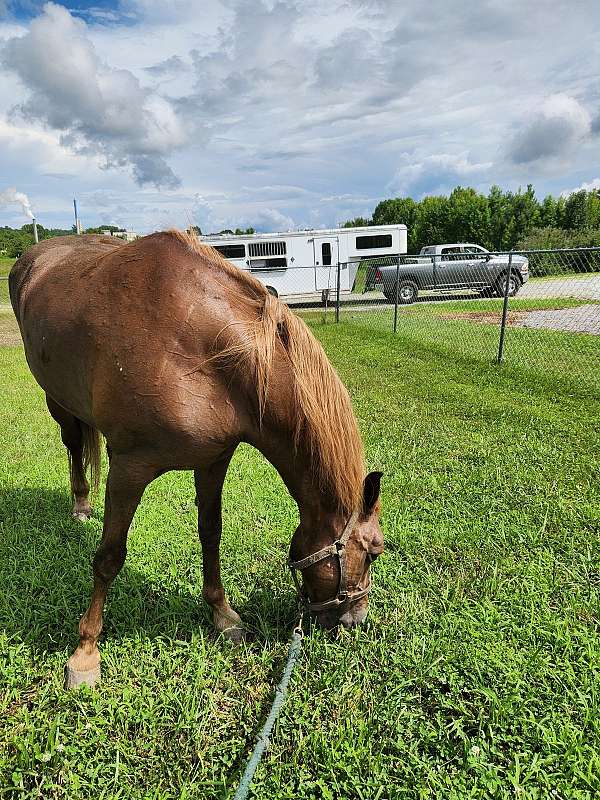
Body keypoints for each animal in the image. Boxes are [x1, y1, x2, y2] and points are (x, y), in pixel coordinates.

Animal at [9, 230, 384, 688]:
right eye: (374, 552)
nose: (355, 620)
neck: (201, 349)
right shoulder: (129, 469)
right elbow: (109, 557)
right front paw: (85, 651)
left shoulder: (213, 460)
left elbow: (210, 533)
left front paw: (222, 614)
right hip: (58, 402)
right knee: (72, 444)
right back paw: (81, 503)